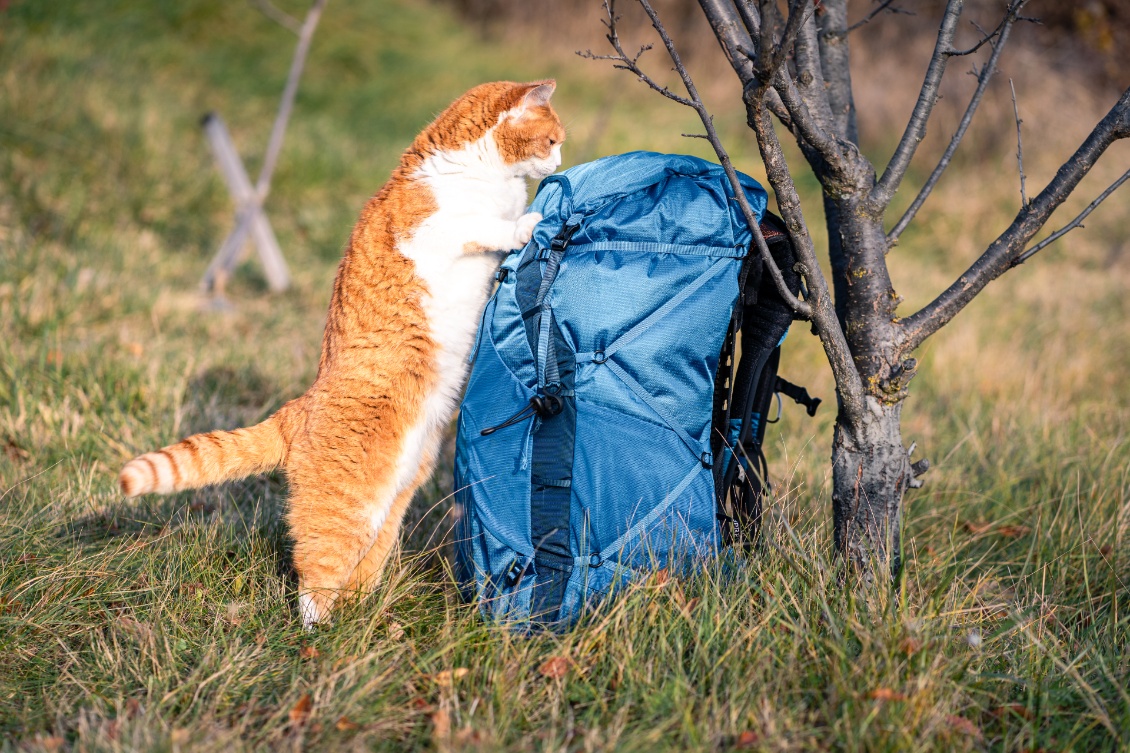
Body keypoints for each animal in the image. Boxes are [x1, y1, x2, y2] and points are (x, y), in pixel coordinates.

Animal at [116, 79, 565, 624]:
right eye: (551, 141)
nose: (560, 161)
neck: (479, 173)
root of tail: (297, 408)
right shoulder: (432, 228)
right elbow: (486, 226)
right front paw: (526, 225)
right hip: (343, 511)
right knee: (315, 576)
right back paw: (321, 633)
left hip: (393, 503)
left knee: (361, 566)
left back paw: (364, 616)